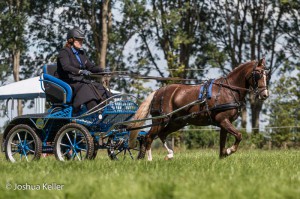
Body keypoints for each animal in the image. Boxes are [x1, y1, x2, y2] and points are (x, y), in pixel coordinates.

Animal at [129, 58, 270, 160]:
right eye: (258, 74)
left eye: (266, 75)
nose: (265, 94)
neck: (228, 90)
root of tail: (158, 91)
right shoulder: (223, 120)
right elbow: (239, 135)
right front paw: (230, 151)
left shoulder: (224, 122)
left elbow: (222, 143)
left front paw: (222, 157)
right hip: (161, 120)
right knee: (148, 137)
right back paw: (149, 160)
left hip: (178, 122)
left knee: (161, 134)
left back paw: (169, 154)